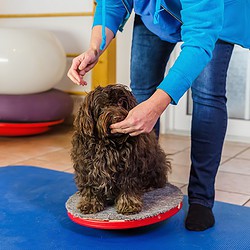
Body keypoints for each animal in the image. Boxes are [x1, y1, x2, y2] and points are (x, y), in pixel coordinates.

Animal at [71, 84, 171, 215]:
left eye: (120, 102)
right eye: (103, 106)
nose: (117, 117)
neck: (110, 144)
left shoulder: (129, 168)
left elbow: (128, 186)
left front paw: (129, 204)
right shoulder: (86, 167)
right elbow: (90, 186)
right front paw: (90, 203)